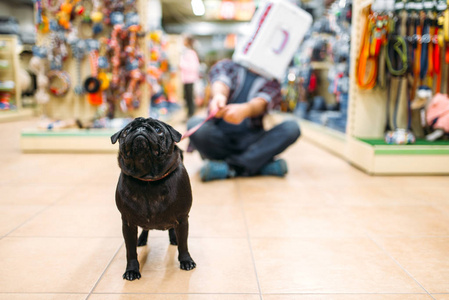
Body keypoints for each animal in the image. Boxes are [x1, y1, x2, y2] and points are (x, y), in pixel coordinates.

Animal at [110, 116, 194, 280]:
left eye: (158, 129)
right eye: (127, 131)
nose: (141, 128)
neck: (148, 179)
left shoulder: (182, 219)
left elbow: (184, 244)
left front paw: (186, 261)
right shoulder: (128, 223)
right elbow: (130, 251)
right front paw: (132, 270)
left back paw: (173, 238)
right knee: (145, 229)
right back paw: (142, 239)